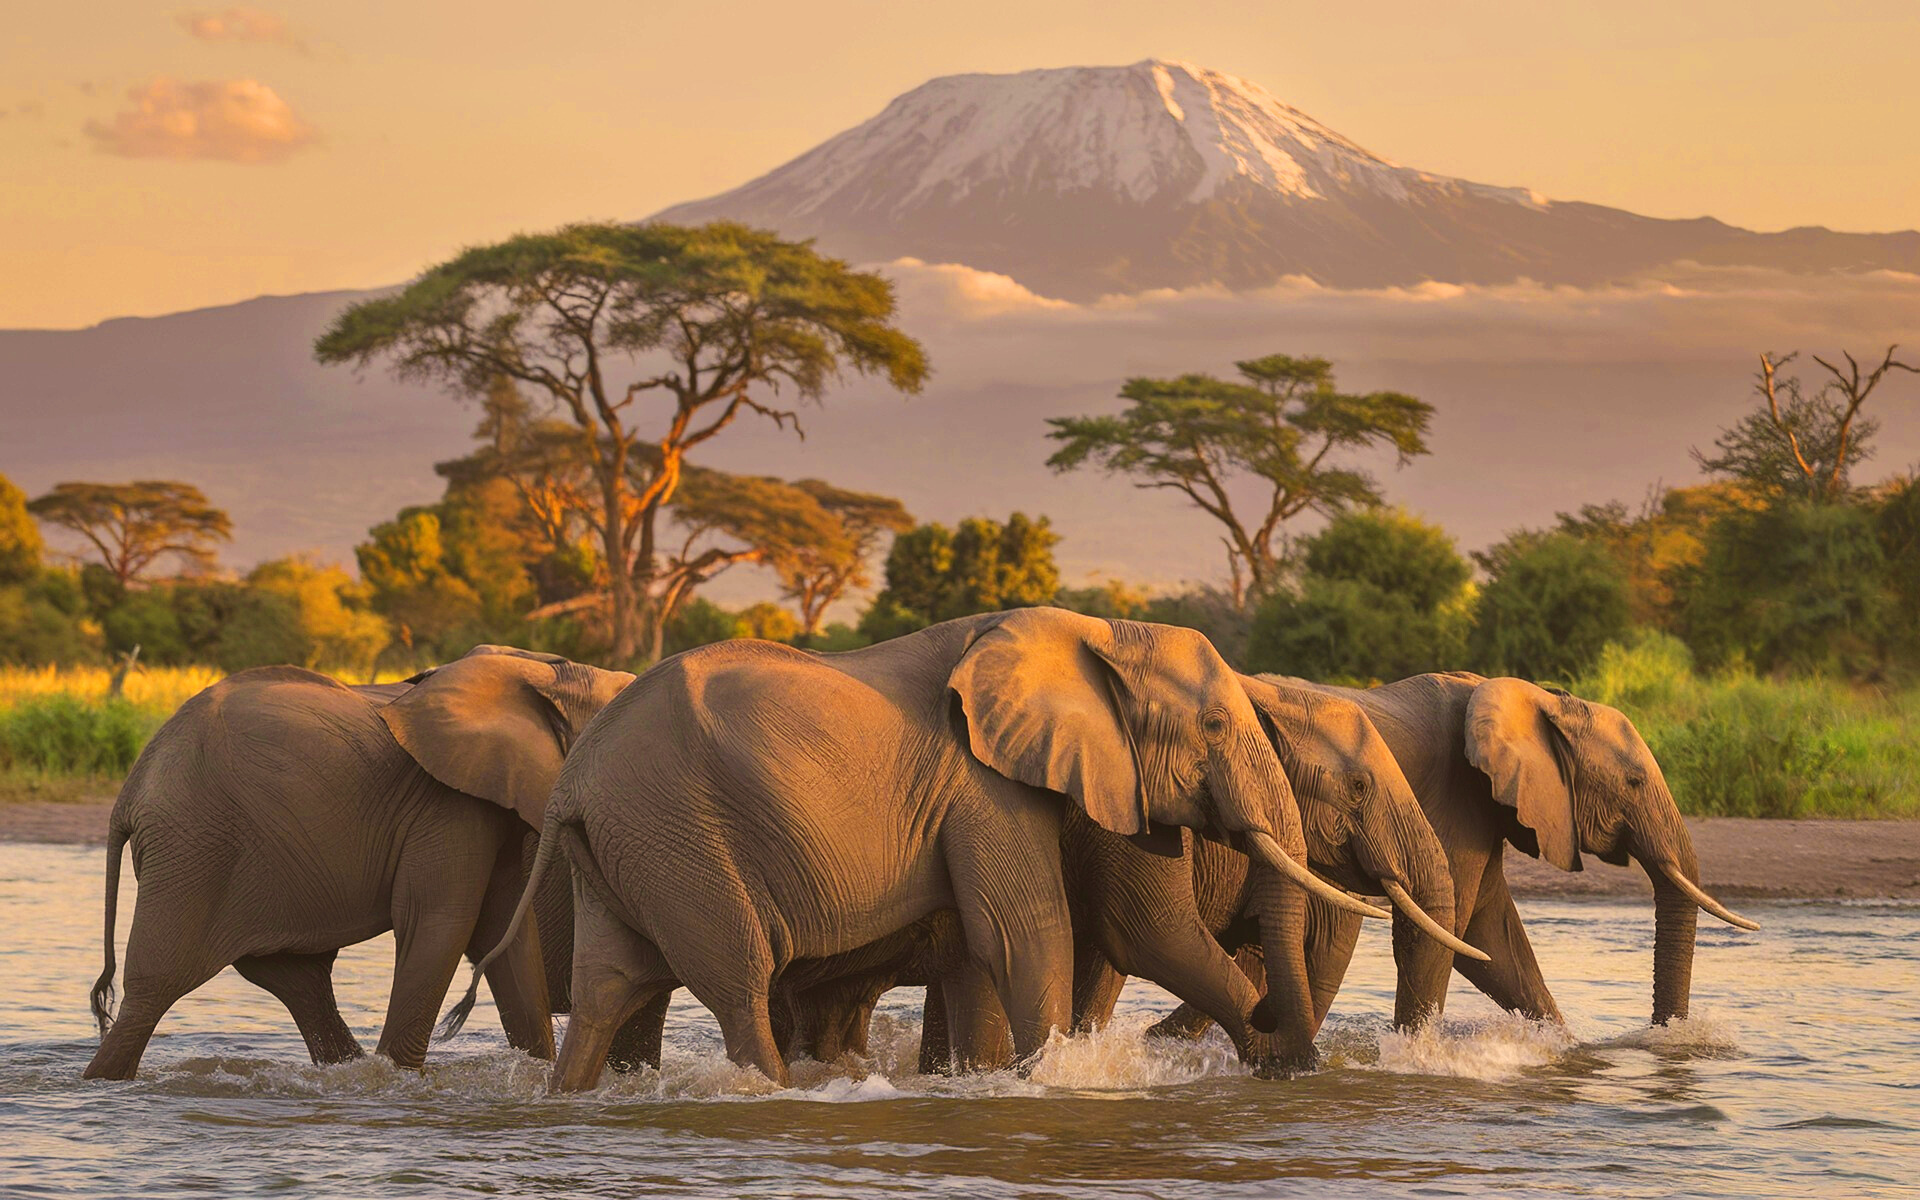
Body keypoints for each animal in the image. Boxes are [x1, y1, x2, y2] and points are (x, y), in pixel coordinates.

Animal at [82, 646, 633, 1080]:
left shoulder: (489, 801)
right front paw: (399, 1082)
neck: (540, 670)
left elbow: (506, 935)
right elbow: (441, 922)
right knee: (155, 988)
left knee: (298, 981)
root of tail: (131, 788)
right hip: (194, 844)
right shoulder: (447, 804)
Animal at [444, 607, 1390, 1090]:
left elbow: (997, 947)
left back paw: (571, 1098)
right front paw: (1048, 1086)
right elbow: (1029, 934)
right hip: (682, 840)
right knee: (738, 981)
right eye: (1217, 725)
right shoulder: (985, 786)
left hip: (626, 847)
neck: (1089, 628)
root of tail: (572, 782)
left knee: (608, 985)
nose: (1274, 1032)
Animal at [1152, 671, 1759, 1043]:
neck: (1535, 697)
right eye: (1633, 782)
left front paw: (1564, 1048)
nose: (1663, 1038)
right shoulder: (1457, 804)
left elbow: (1492, 941)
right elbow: (1455, 930)